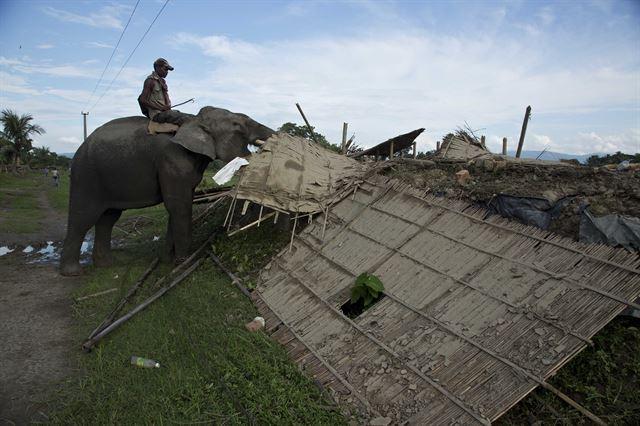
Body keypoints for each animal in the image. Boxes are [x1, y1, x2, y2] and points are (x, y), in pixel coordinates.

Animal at [57, 105, 272, 274]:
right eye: (238, 127)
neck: (191, 119)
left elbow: (179, 205)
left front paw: (167, 261)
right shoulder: (172, 160)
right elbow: (179, 205)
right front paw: (184, 263)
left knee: (108, 218)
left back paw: (107, 264)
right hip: (86, 176)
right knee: (84, 217)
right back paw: (73, 272)